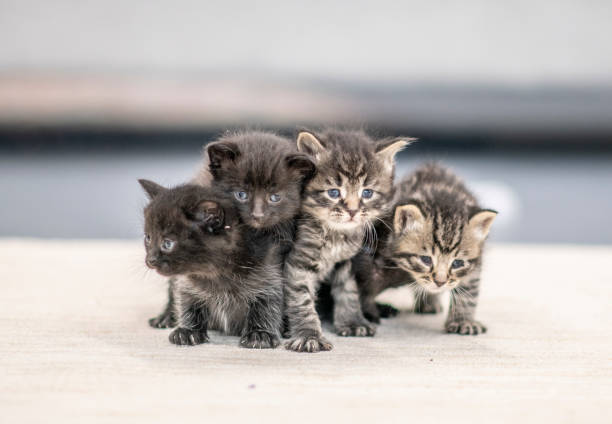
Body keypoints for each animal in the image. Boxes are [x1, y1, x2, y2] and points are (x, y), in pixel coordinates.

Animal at [140, 179, 284, 348]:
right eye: (148, 238)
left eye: (167, 243)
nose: (150, 260)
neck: (216, 273)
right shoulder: (187, 282)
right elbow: (188, 301)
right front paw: (188, 331)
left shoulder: (268, 271)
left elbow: (266, 304)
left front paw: (259, 334)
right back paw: (165, 317)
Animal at [284, 128, 412, 352]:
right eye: (334, 192)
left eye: (367, 192)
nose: (352, 211)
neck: (336, 235)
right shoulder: (298, 263)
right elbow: (302, 300)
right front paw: (308, 334)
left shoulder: (346, 261)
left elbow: (348, 291)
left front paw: (352, 321)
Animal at [354, 162, 498, 334]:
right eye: (426, 259)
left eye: (457, 263)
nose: (440, 282)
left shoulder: (475, 262)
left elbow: (470, 290)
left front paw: (463, 321)